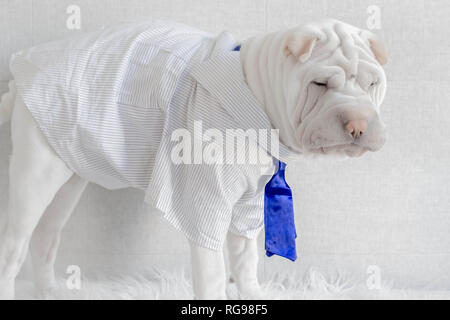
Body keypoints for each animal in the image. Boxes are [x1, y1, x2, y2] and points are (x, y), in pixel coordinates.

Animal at [0, 19, 386, 300]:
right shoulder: (205, 202)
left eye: (372, 83)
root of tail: (19, 81)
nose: (358, 124)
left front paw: (251, 294)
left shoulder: (249, 204)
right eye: (319, 84)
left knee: (45, 236)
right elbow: (212, 270)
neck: (255, 91)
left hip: (67, 176)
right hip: (35, 176)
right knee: (13, 245)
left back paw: (49, 292)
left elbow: (245, 263)